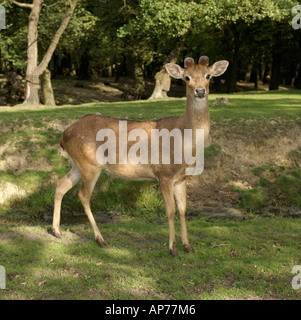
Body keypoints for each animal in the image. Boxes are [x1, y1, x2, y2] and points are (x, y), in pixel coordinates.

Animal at [51, 55, 227, 258]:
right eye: (186, 77)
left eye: (208, 75)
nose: (200, 91)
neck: (185, 139)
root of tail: (63, 135)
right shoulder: (164, 174)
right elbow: (171, 210)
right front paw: (173, 249)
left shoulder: (182, 178)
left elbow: (183, 209)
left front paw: (188, 246)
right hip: (89, 164)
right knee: (83, 195)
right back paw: (100, 239)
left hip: (76, 164)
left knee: (60, 185)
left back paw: (57, 231)